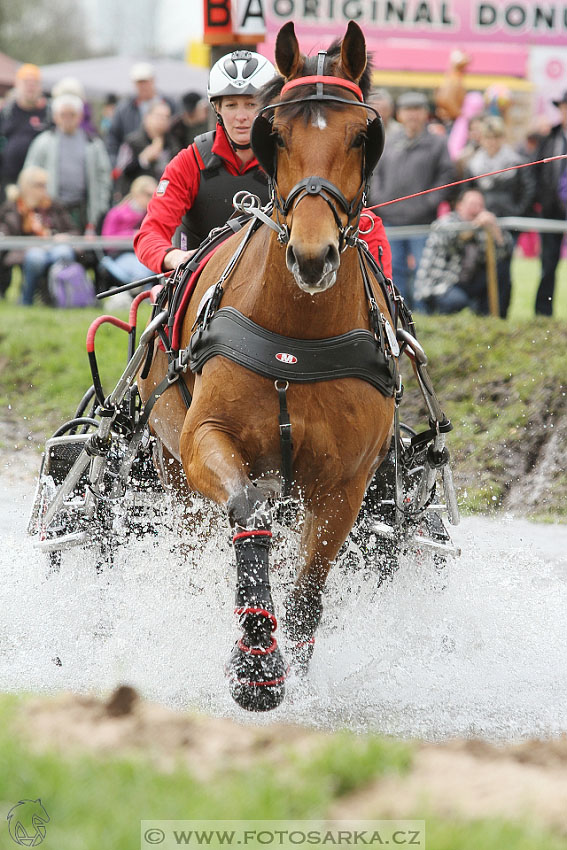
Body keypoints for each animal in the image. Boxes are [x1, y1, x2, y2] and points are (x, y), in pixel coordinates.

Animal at [141, 21, 398, 708]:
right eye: (275, 134)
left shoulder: (345, 484)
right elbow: (249, 513)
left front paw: (291, 672)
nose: (313, 256)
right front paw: (256, 661)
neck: (296, 337)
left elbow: (308, 588)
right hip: (172, 472)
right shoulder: (205, 441)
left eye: (361, 135)